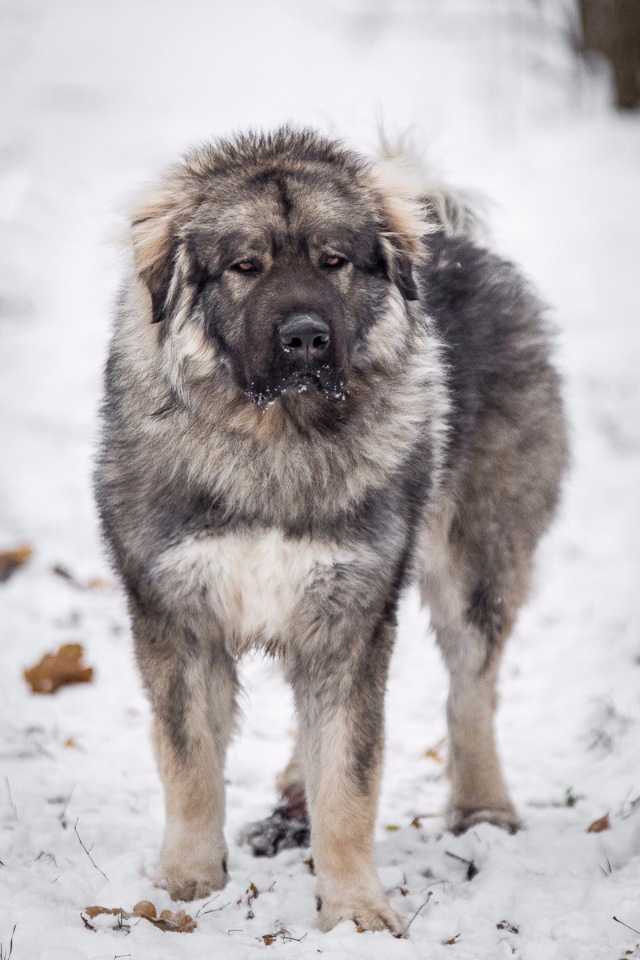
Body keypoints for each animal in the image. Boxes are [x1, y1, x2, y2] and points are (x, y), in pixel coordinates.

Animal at [94, 127, 564, 936]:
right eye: (245, 266)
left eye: (334, 261)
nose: (307, 338)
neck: (274, 437)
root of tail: (456, 241)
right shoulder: (180, 616)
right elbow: (190, 764)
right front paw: (188, 883)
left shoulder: (349, 617)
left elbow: (349, 775)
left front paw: (354, 910)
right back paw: (288, 806)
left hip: (476, 556)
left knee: (471, 688)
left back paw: (482, 807)